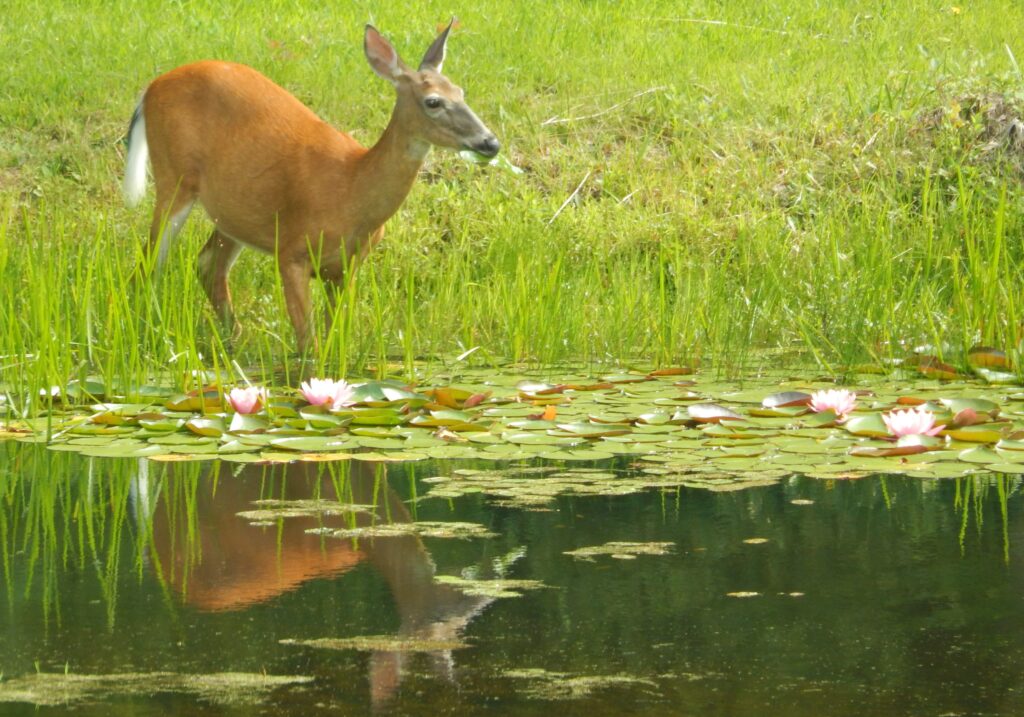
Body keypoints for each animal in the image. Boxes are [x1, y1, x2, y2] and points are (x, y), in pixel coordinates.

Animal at [121, 19, 497, 350]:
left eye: (461, 92)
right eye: (433, 101)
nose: (490, 142)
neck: (352, 192)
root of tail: (150, 88)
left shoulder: (347, 266)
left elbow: (332, 341)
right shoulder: (291, 251)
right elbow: (309, 347)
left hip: (235, 210)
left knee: (207, 263)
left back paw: (235, 341)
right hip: (174, 177)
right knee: (148, 263)